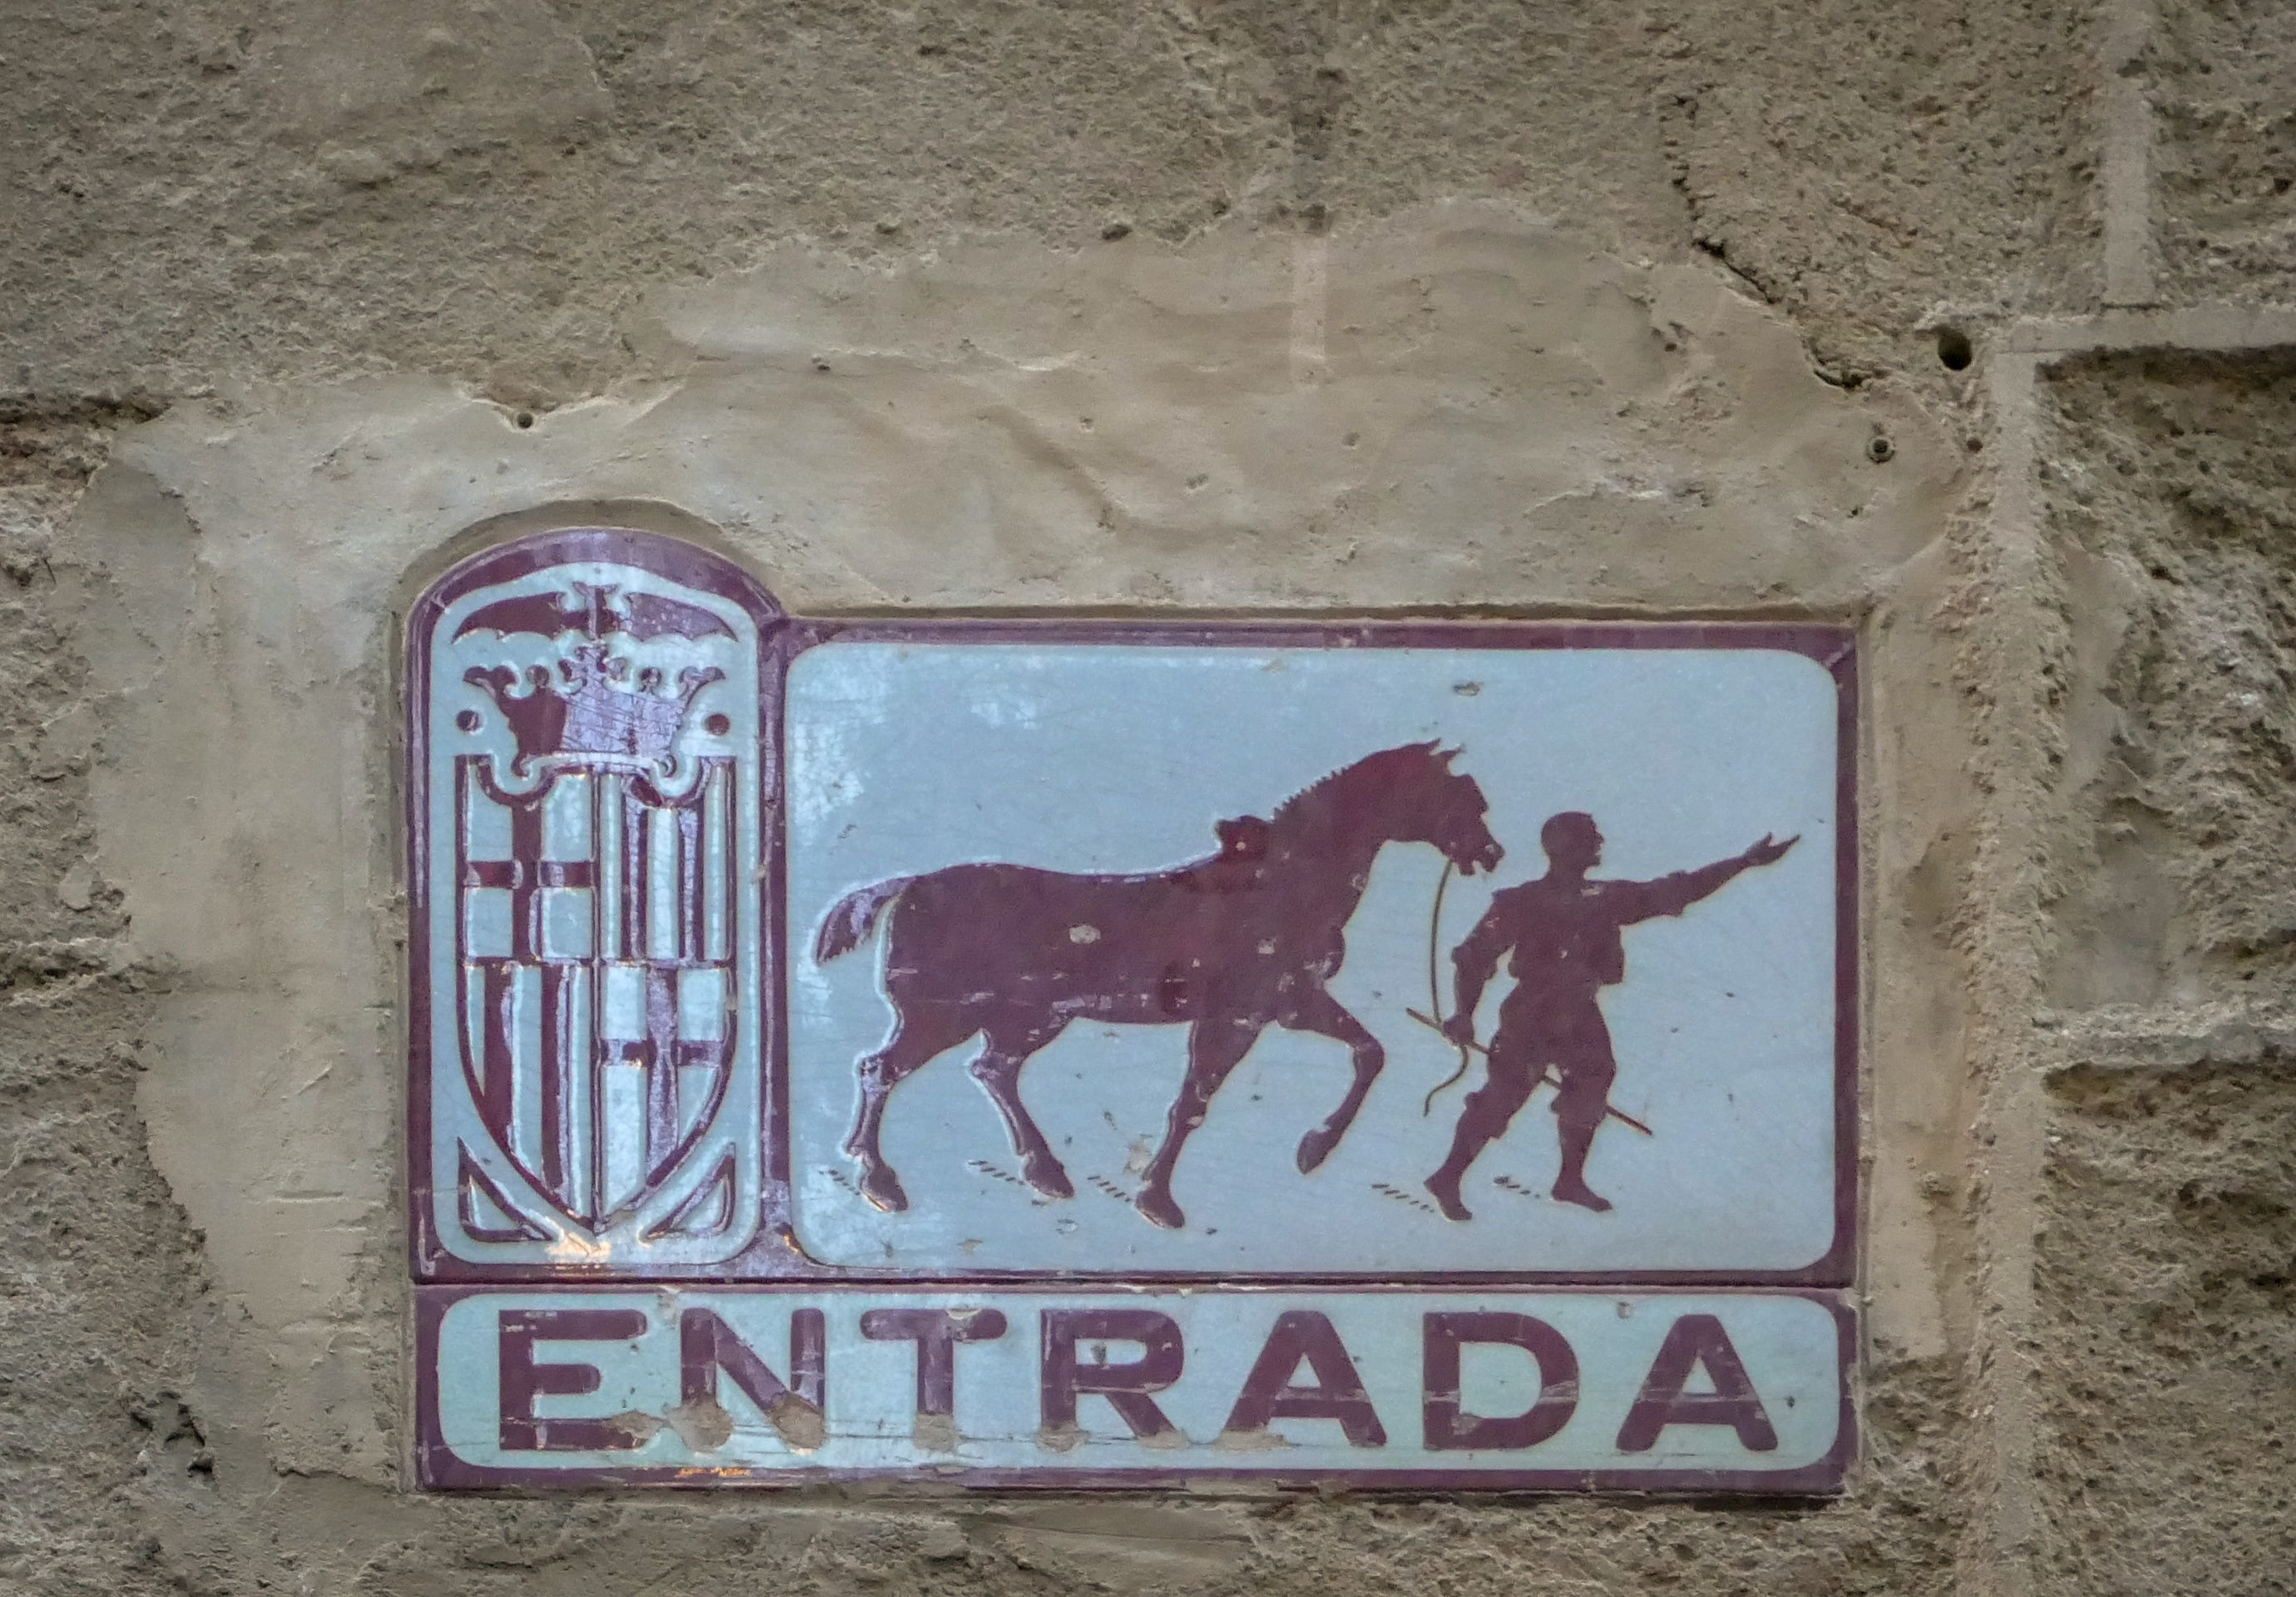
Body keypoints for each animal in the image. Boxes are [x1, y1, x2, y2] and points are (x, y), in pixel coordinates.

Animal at [812, 741, 1505, 1230]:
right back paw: (880, 1182)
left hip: (1029, 1018)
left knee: (989, 1071)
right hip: (943, 1015)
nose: (1490, 853)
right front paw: (1158, 1203)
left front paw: (1312, 1150)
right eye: (1458, 795)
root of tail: (906, 885)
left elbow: (1368, 1052)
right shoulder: (1235, 1018)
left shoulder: (1288, 1005)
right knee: (882, 1069)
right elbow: (1193, 1102)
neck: (1278, 885)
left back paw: (1043, 1174)